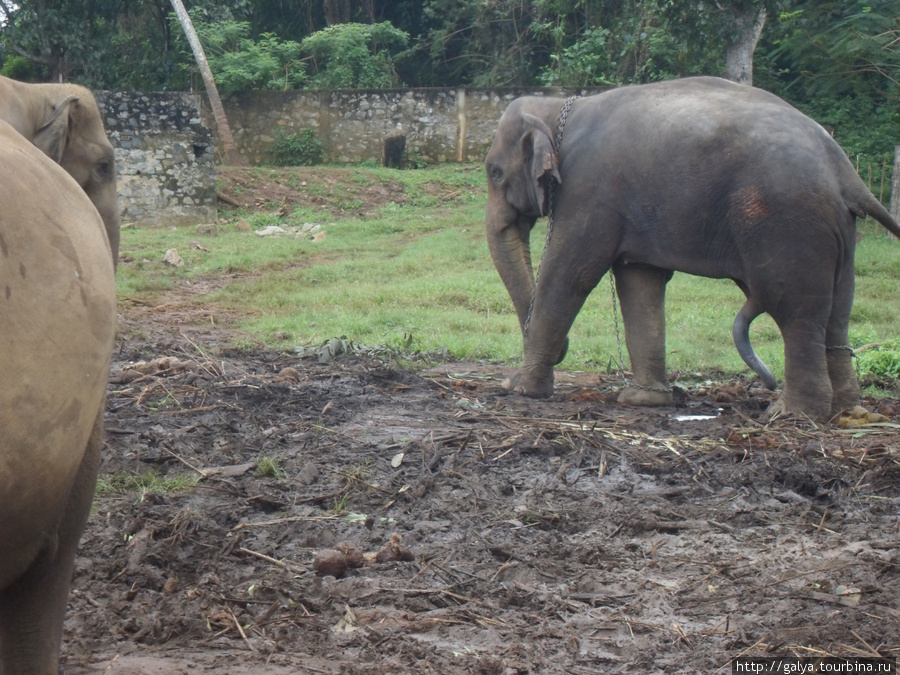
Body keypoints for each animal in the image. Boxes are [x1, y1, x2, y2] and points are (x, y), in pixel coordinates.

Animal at [486, 75, 900, 422]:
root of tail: (844, 169)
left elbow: (570, 273)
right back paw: (847, 412)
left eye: (494, 172)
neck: (557, 107)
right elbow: (640, 281)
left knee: (795, 310)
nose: (563, 351)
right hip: (837, 230)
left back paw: (790, 414)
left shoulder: (588, 191)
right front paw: (644, 400)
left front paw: (519, 389)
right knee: (838, 313)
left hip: (788, 221)